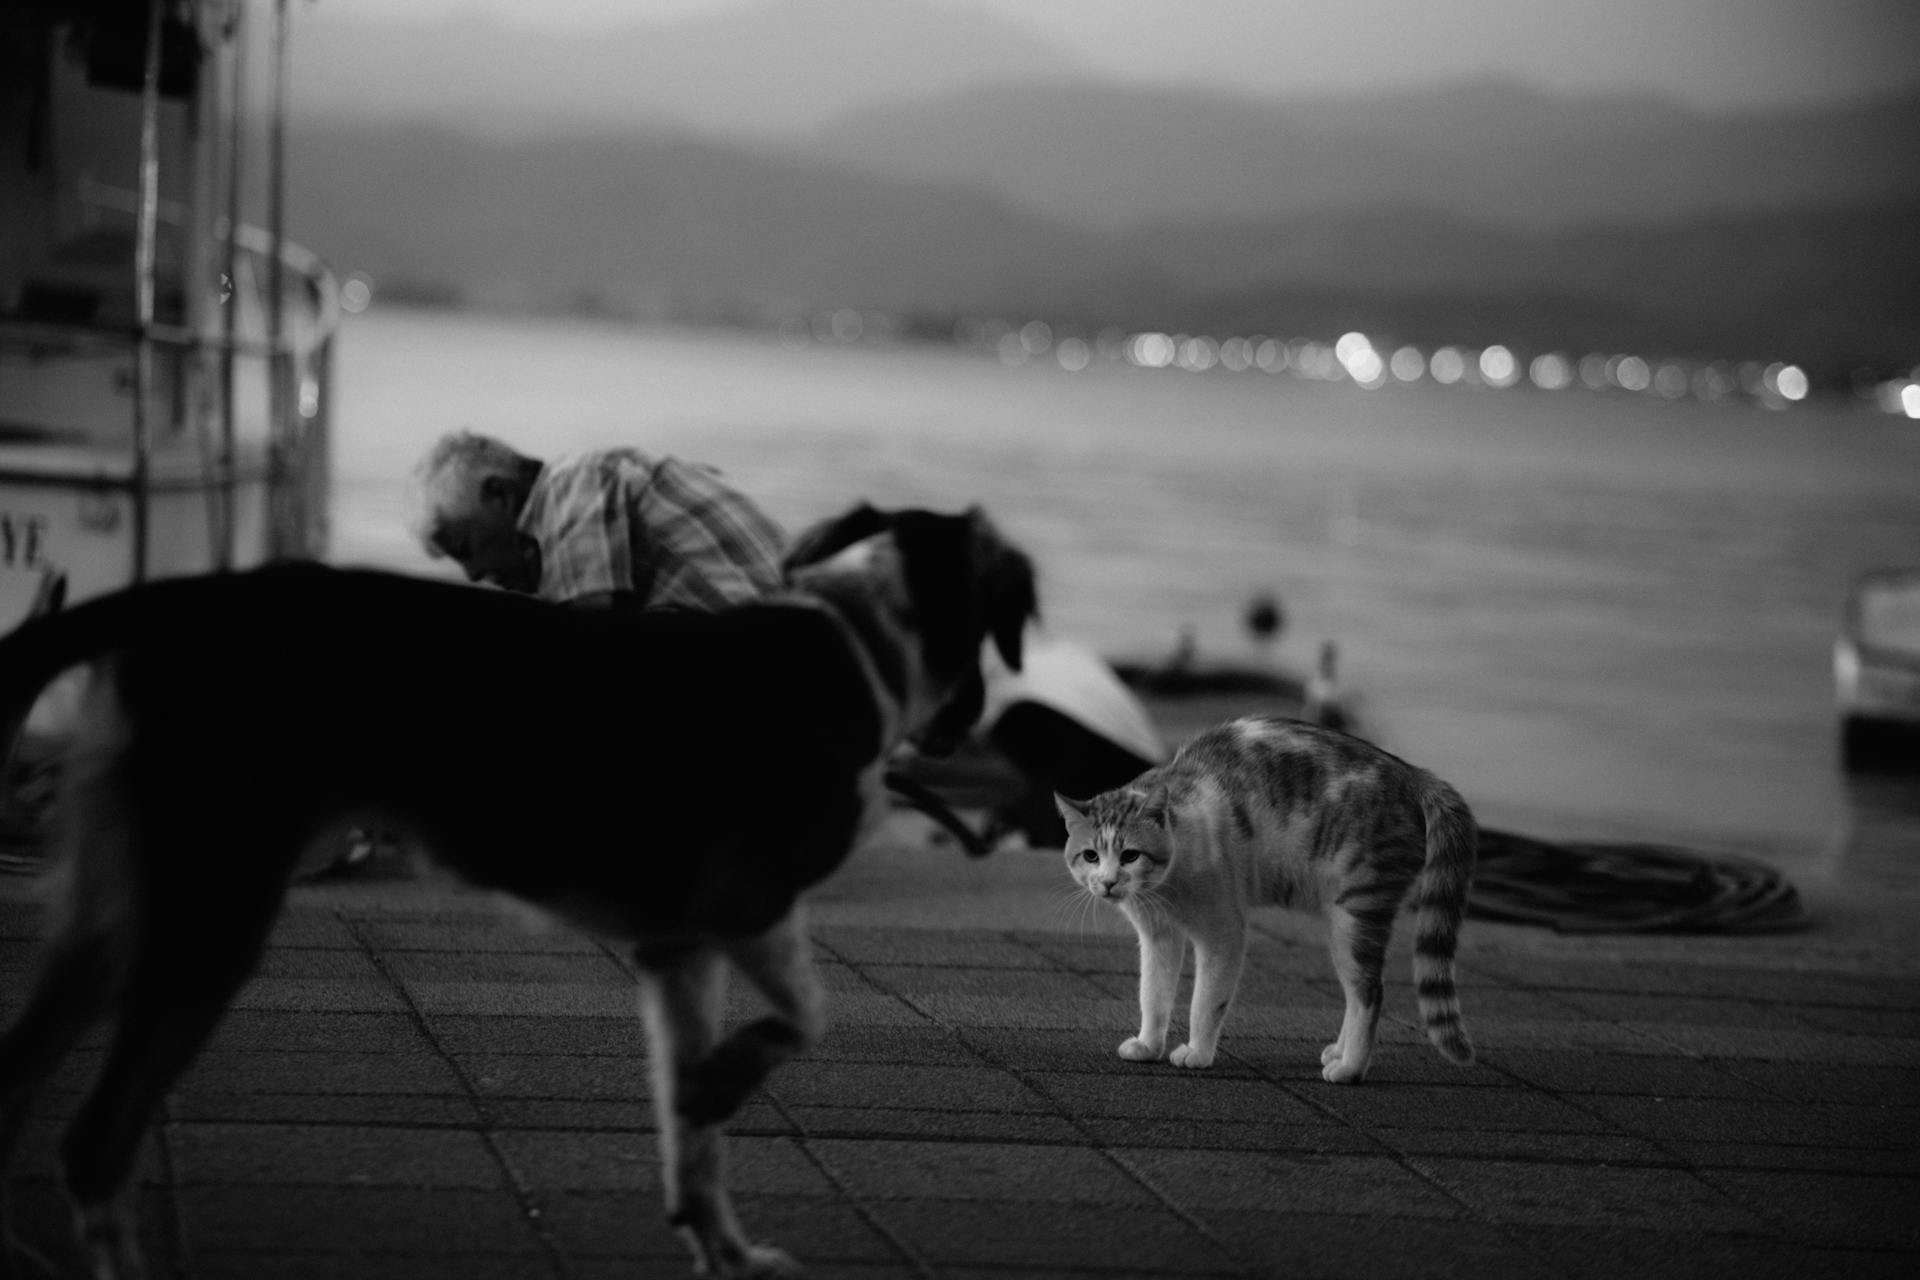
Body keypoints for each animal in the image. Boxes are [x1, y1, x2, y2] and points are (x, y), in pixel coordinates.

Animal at [0, 506, 1036, 1274]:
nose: (981, 716)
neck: (860, 641)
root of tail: (174, 600)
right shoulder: (750, 900)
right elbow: (806, 1019)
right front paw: (725, 1085)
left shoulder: (680, 946)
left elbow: (692, 1142)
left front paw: (721, 1242)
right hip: (211, 908)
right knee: (94, 1145)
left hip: (117, 911)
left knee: (26, 1080)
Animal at [1059, 717, 1474, 1090]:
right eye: (1091, 856)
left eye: (1130, 855)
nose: (1108, 882)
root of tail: (1413, 774)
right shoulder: (1158, 937)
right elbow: (1153, 995)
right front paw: (1148, 1045)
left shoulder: (1223, 934)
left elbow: (1204, 1002)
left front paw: (1197, 1053)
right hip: (1341, 922)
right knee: (1356, 996)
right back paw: (1338, 1053)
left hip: (1355, 915)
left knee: (1369, 995)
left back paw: (1350, 1069)